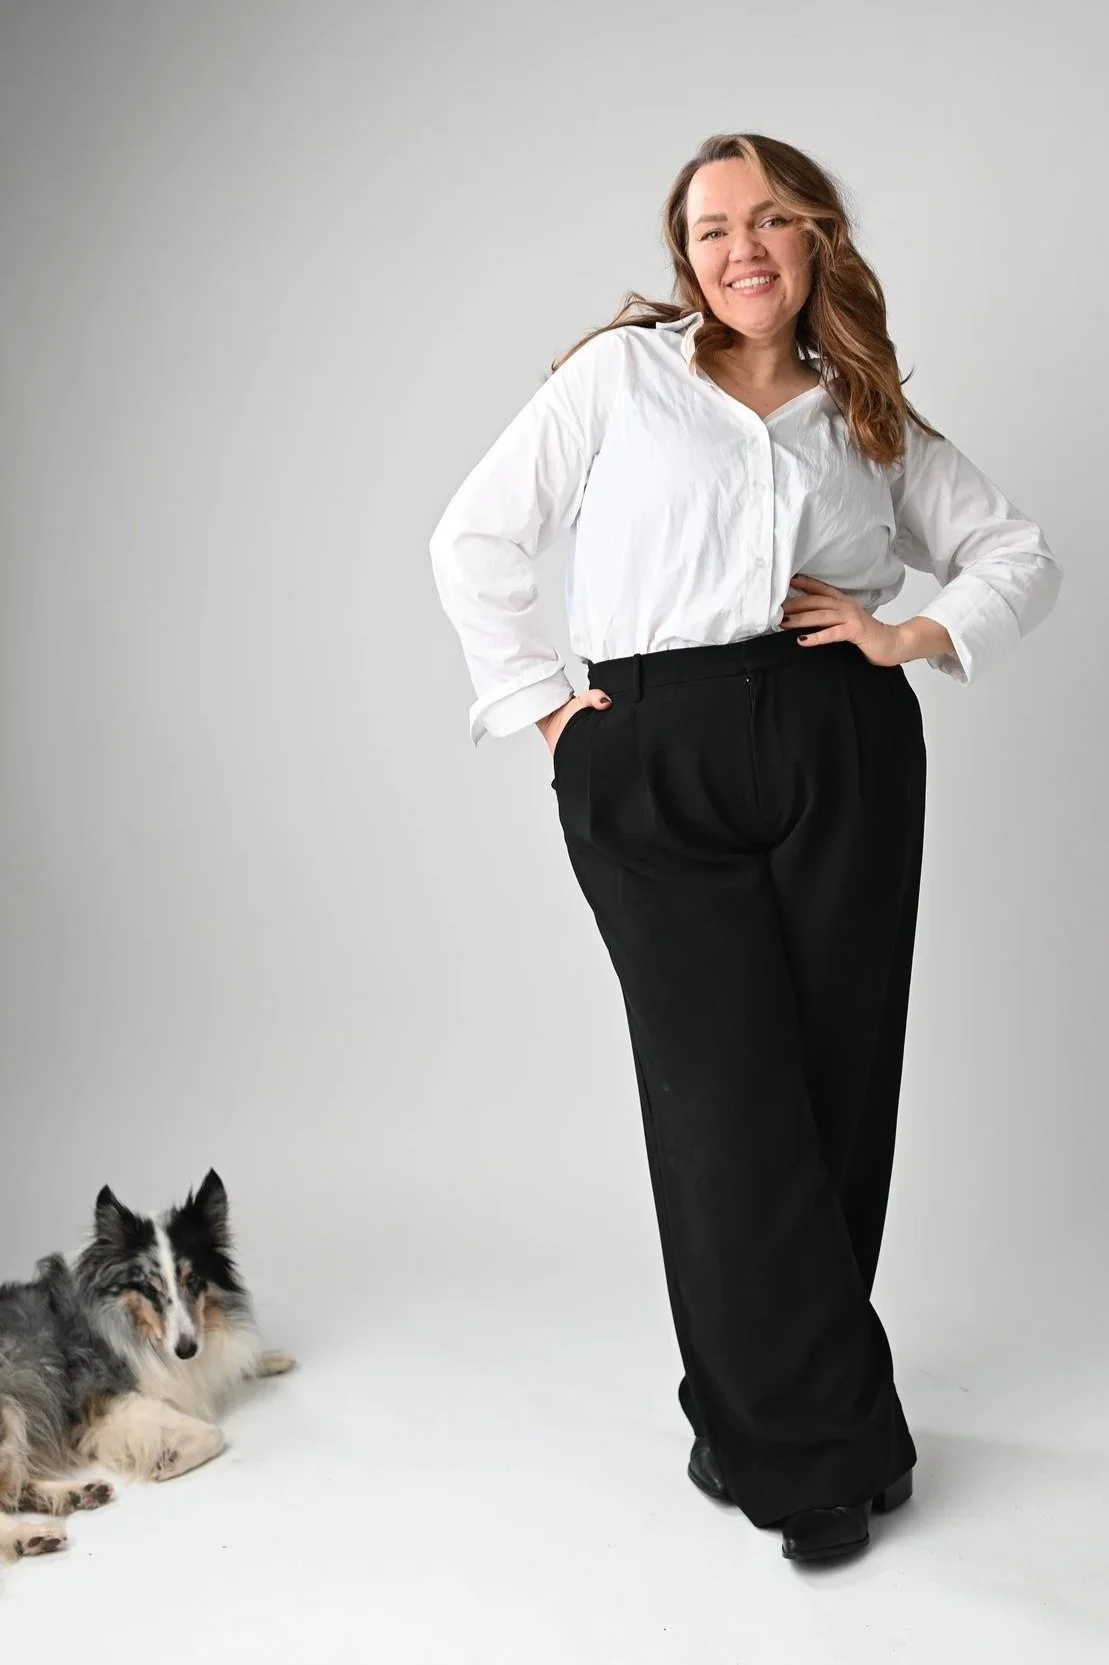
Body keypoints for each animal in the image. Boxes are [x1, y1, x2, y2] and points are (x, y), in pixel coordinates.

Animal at [0, 1168, 294, 1569]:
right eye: (150, 1289)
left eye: (193, 1280)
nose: (186, 1350)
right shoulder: (112, 1400)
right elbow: (213, 1432)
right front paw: (168, 1460)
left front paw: (274, 1358)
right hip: (11, 1408)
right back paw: (29, 1535)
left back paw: (76, 1494)